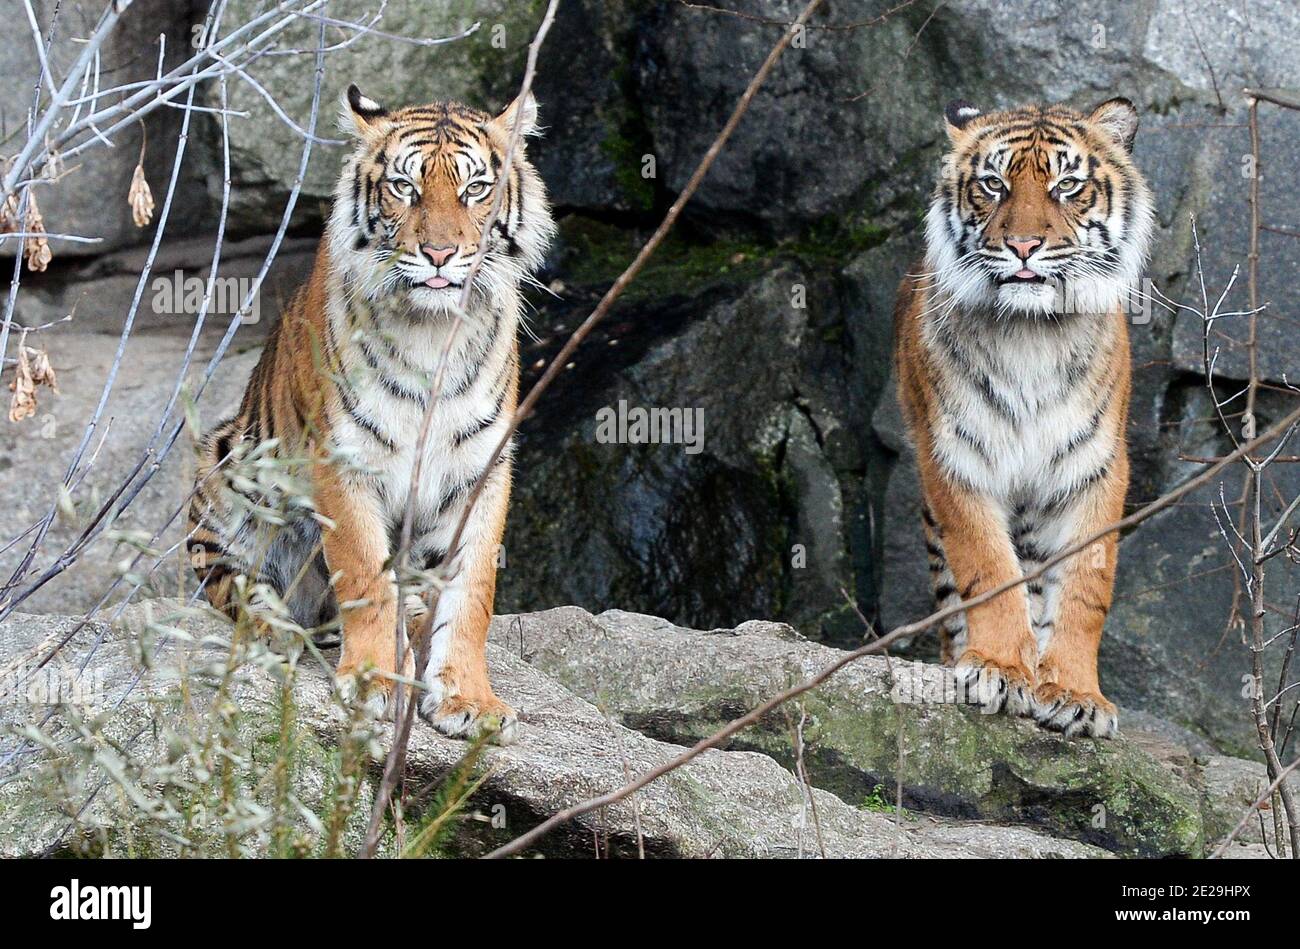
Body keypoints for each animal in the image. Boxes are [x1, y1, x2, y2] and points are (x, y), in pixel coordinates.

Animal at [188, 85, 553, 738]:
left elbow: (473, 591)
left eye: (475, 188)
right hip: (224, 466)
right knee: (233, 587)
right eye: (405, 187)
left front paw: (470, 700)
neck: (433, 331)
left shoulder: (480, 469)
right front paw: (375, 683)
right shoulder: (345, 461)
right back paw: (277, 629)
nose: (440, 253)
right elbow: (364, 575)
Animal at [894, 98, 1159, 738]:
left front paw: (1075, 692)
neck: (1031, 335)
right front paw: (997, 668)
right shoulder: (956, 458)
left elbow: (1086, 587)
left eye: (1067, 186)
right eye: (994, 184)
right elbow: (988, 567)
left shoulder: (1094, 467)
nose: (1022, 246)